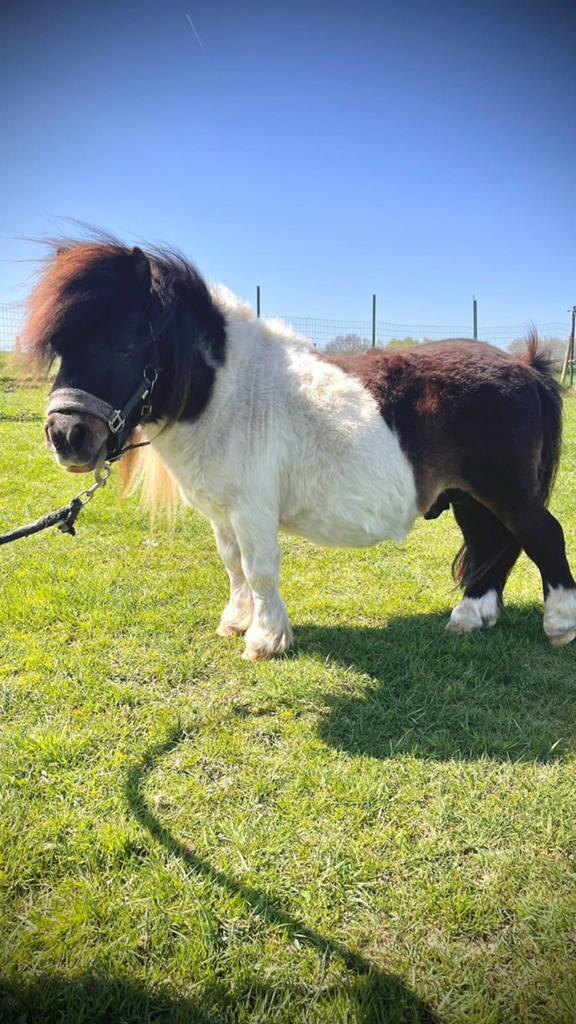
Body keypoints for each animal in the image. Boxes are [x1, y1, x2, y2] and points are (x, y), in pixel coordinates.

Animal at [18, 236, 576, 659]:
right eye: (62, 347)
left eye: (124, 344)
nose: (66, 436)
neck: (233, 393)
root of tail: (525, 367)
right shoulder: (223, 514)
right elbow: (233, 564)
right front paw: (237, 622)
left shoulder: (251, 509)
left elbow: (259, 567)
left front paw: (266, 639)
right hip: (471, 498)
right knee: (493, 544)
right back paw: (469, 616)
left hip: (504, 491)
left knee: (542, 536)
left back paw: (559, 625)